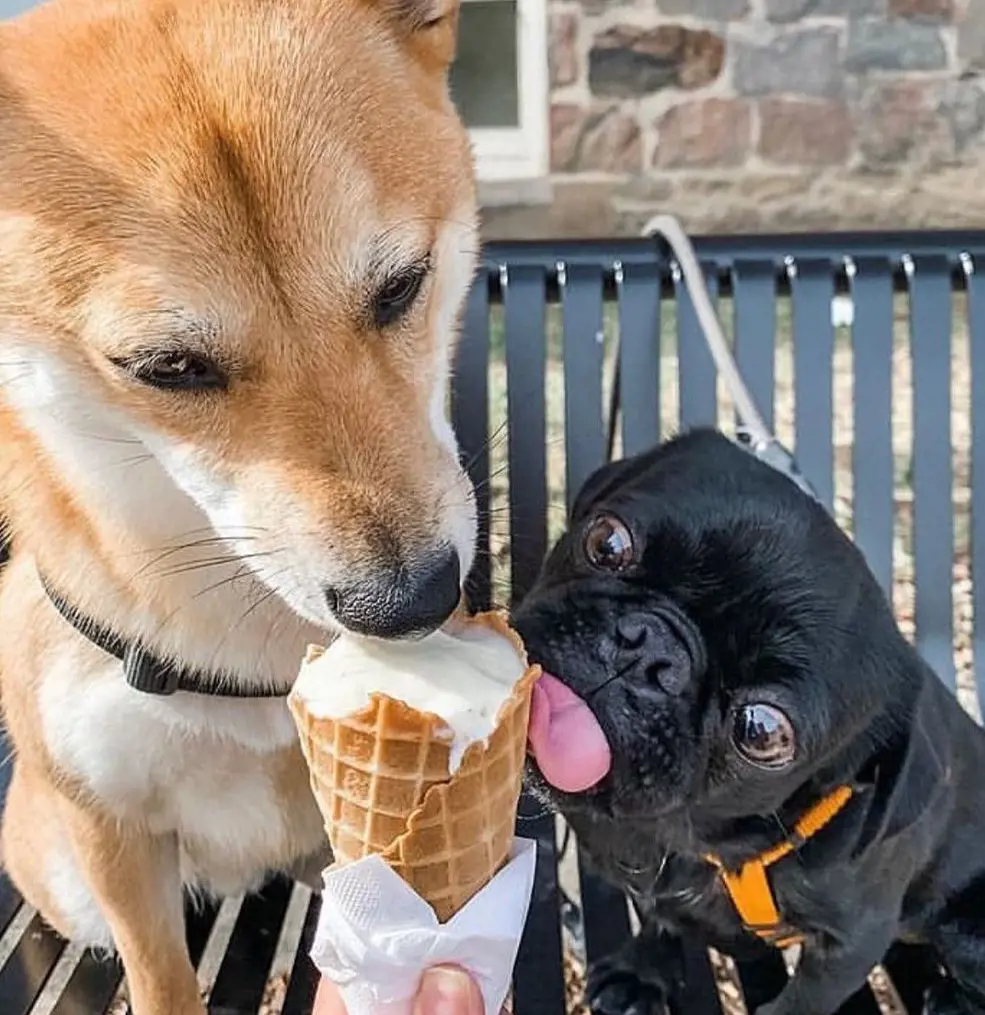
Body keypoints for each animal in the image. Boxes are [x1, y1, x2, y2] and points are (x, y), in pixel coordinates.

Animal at [509, 426, 982, 1015]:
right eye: (608, 542)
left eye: (761, 731)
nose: (647, 650)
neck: (696, 840)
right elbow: (660, 919)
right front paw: (642, 972)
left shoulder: (850, 946)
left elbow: (801, 1002)